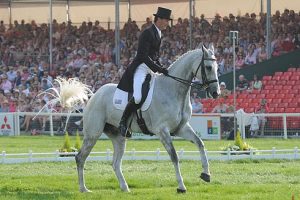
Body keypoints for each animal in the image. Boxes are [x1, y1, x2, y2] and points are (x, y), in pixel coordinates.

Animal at [70, 45, 220, 192]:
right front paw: (181, 186)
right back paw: (83, 189)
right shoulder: (162, 130)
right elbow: (174, 156)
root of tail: (94, 95)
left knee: (115, 163)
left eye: (217, 67)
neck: (173, 90)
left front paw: (206, 174)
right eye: (208, 67)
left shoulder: (181, 128)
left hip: (118, 137)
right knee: (80, 157)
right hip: (93, 134)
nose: (216, 93)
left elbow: (200, 143)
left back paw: (125, 188)